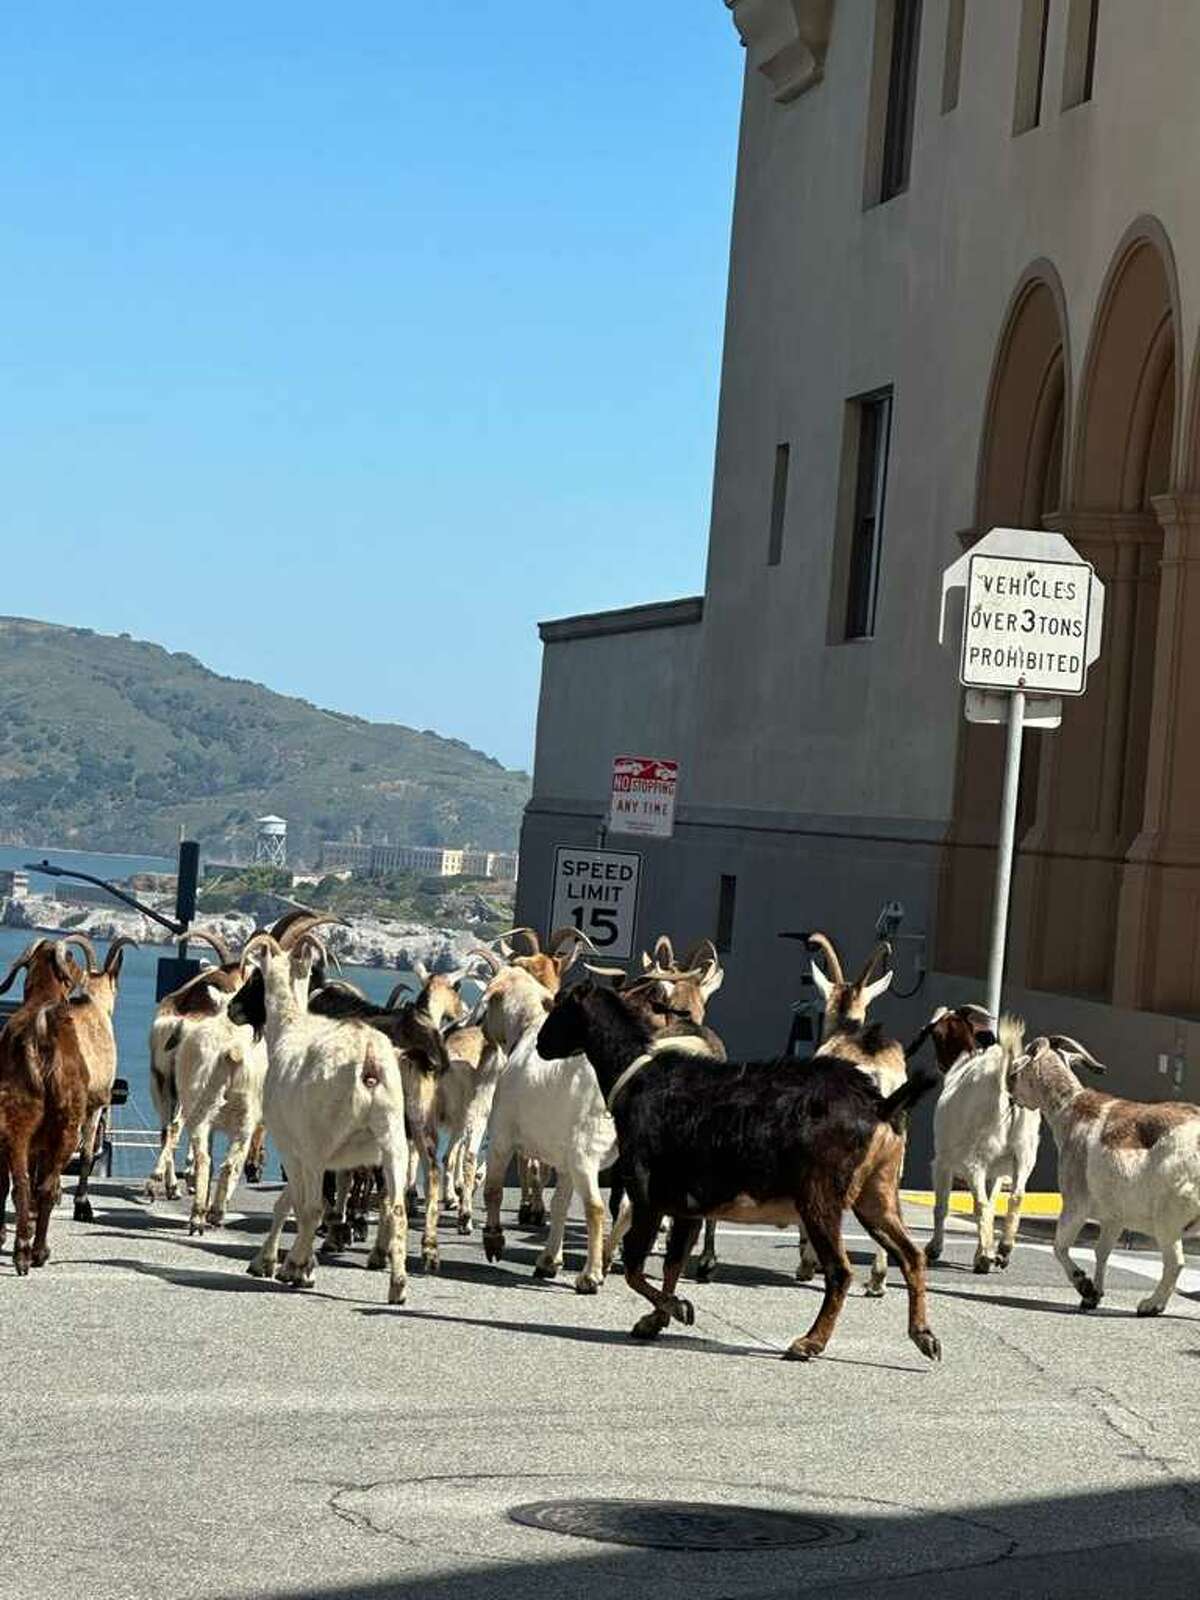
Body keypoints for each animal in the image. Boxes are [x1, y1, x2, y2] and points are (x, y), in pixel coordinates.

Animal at [540, 979, 947, 1369]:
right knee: (911, 1255)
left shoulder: (647, 1197)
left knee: (840, 1271)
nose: (542, 1045)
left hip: (820, 1197)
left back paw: (810, 1342)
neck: (637, 1076)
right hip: (876, 1193)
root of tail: (880, 1104)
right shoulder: (687, 1206)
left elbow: (635, 1268)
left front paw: (678, 1309)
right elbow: (672, 1264)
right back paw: (923, 1334)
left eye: (559, 1006)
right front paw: (656, 1319)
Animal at [1017, 1036, 1200, 1312]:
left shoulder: (1075, 1204)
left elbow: (1060, 1247)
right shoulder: (1113, 1218)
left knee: (1174, 1262)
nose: (1009, 1081)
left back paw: (1151, 1304)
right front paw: (1094, 1295)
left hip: (1167, 1219)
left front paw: (1085, 1286)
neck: (1071, 1109)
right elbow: (1101, 1252)